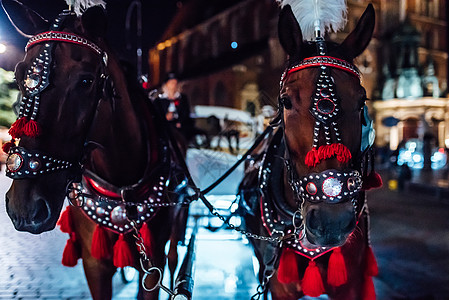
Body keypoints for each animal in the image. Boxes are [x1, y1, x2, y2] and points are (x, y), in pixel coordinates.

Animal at [2, 1, 187, 298]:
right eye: (19, 77)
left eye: (86, 81)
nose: (24, 208)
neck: (120, 185)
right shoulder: (94, 263)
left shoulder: (154, 259)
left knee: (174, 260)